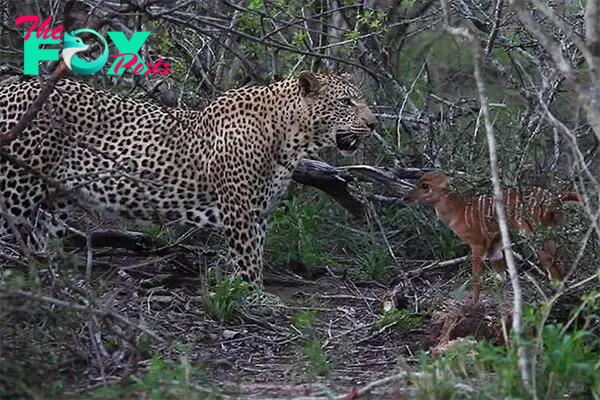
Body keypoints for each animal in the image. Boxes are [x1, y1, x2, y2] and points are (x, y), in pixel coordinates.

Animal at [0, 71, 376, 316]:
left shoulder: (259, 212)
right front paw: (256, 299)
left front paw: (248, 294)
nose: (373, 124)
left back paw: (57, 286)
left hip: (57, 197)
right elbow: (249, 259)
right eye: (346, 101)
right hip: (15, 189)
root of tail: (10, 87)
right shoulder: (240, 210)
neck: (289, 137)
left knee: (42, 240)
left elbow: (255, 255)